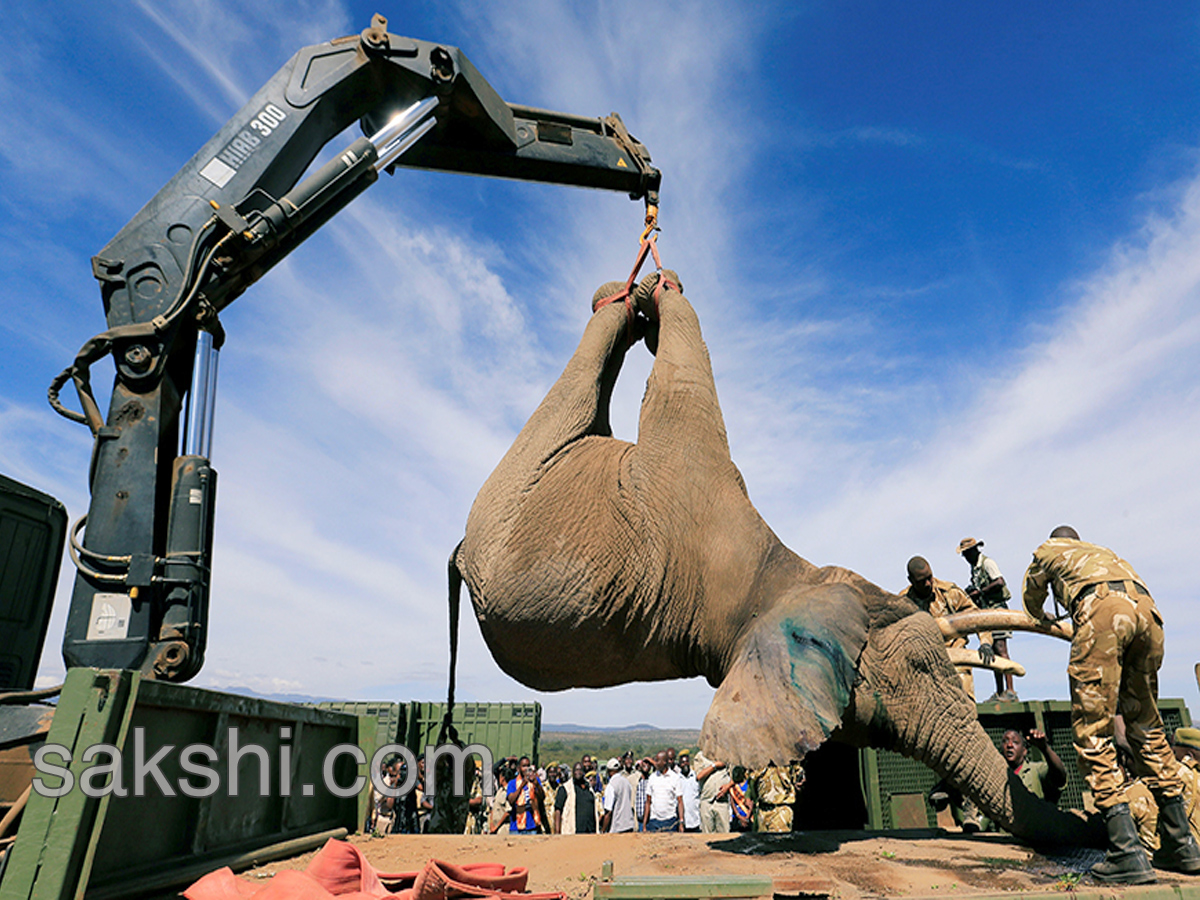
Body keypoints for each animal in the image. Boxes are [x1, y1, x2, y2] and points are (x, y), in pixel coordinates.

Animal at [451, 270, 1099, 844]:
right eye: (917, 666)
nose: (1089, 825)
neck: (786, 572)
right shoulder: (686, 470)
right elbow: (684, 375)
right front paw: (663, 291)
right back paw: (629, 294)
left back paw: (624, 294)